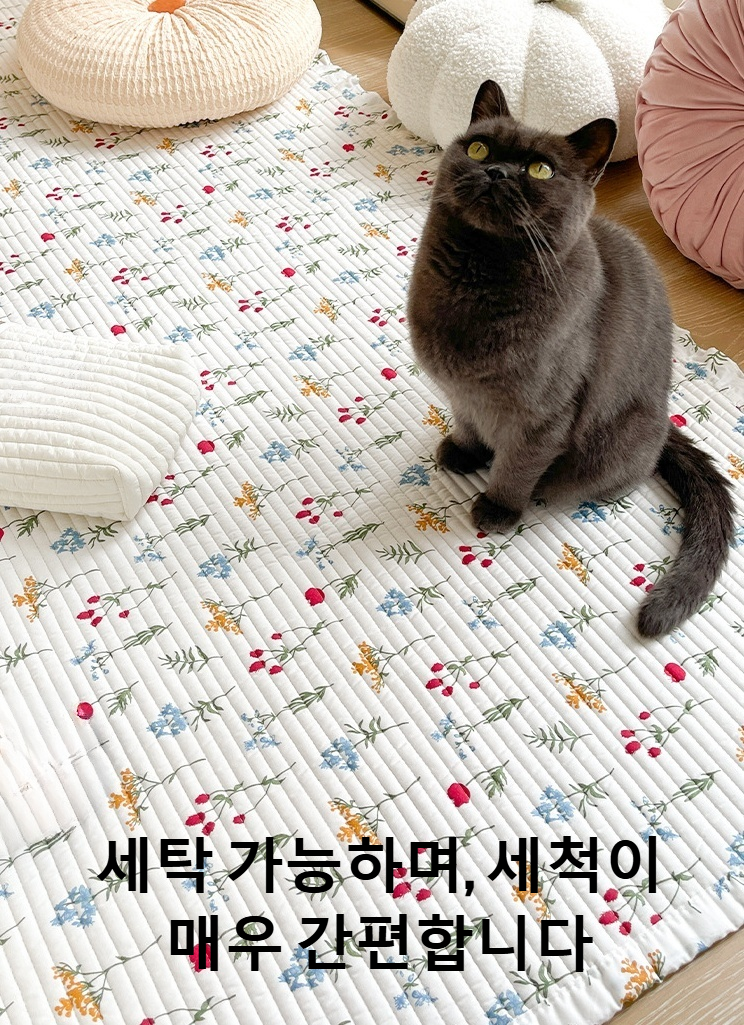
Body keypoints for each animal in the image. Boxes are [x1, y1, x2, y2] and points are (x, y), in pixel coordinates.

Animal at [407, 80, 735, 639]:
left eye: (541, 170)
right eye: (479, 149)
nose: (497, 172)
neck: (476, 281)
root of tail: (664, 422)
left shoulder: (543, 415)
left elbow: (516, 466)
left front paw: (497, 508)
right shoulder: (462, 391)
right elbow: (468, 422)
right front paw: (463, 452)